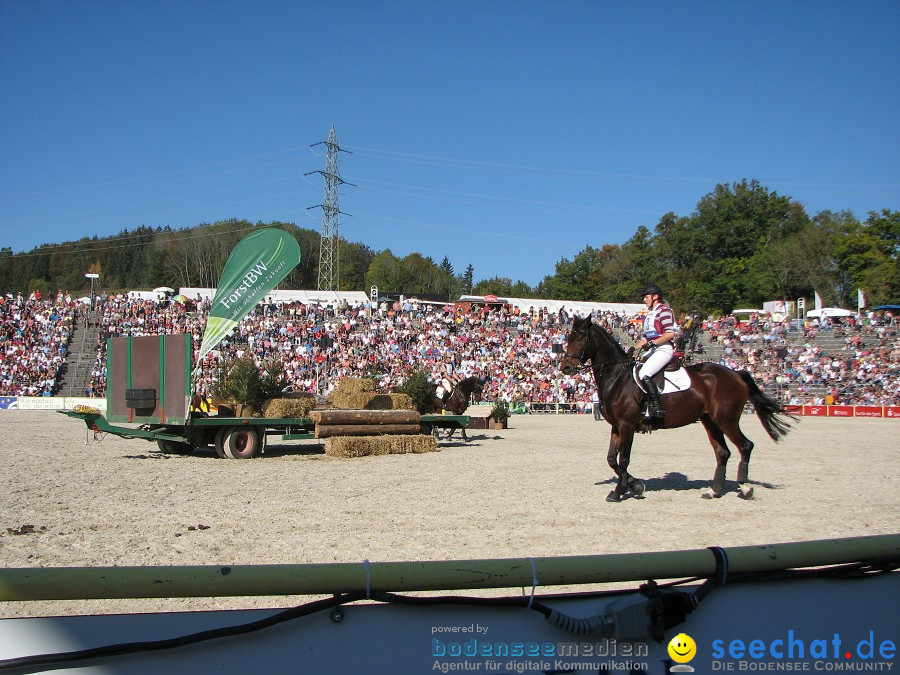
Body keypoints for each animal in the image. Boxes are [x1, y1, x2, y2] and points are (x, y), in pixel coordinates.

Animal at [560, 316, 800, 502]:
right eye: (567, 338)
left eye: (579, 339)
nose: (565, 367)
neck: (617, 377)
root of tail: (736, 374)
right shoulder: (617, 426)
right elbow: (611, 459)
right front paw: (635, 485)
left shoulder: (627, 425)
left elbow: (623, 459)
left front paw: (619, 491)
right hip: (710, 421)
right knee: (723, 452)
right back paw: (714, 491)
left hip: (727, 419)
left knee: (745, 446)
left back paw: (745, 487)